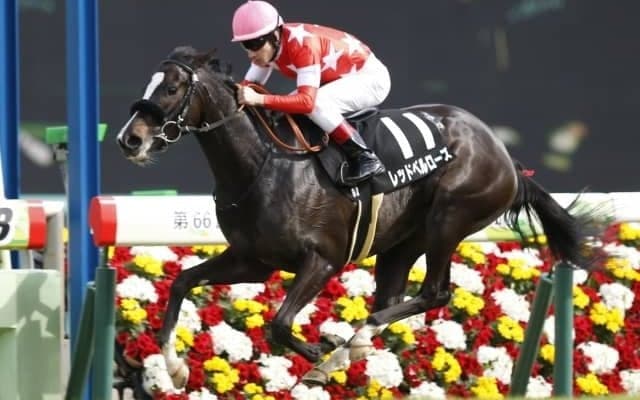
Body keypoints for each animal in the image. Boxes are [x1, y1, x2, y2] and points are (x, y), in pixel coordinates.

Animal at [116, 46, 600, 388]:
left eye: (172, 87)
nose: (129, 139)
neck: (261, 165)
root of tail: (504, 156)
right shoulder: (252, 261)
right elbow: (181, 283)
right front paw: (174, 369)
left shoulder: (322, 259)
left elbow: (279, 324)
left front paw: (316, 357)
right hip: (403, 244)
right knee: (390, 299)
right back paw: (353, 347)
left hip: (450, 218)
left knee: (435, 293)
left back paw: (349, 346)